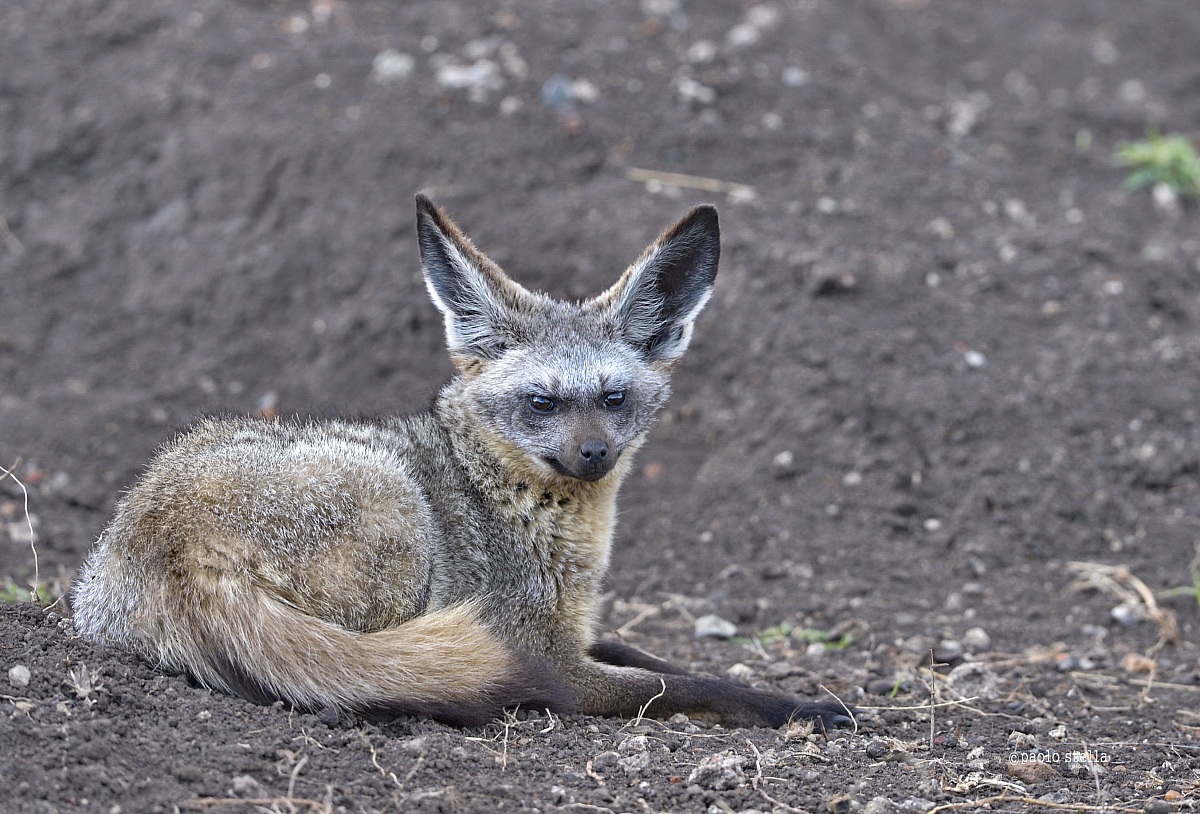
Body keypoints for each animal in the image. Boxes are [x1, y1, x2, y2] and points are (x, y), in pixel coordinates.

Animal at [71, 195, 853, 730]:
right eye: (541, 402)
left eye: (614, 398)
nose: (594, 454)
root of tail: (170, 535)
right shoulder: (550, 654)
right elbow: (683, 685)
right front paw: (799, 706)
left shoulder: (569, 631)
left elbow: (649, 655)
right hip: (395, 510)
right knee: (379, 670)